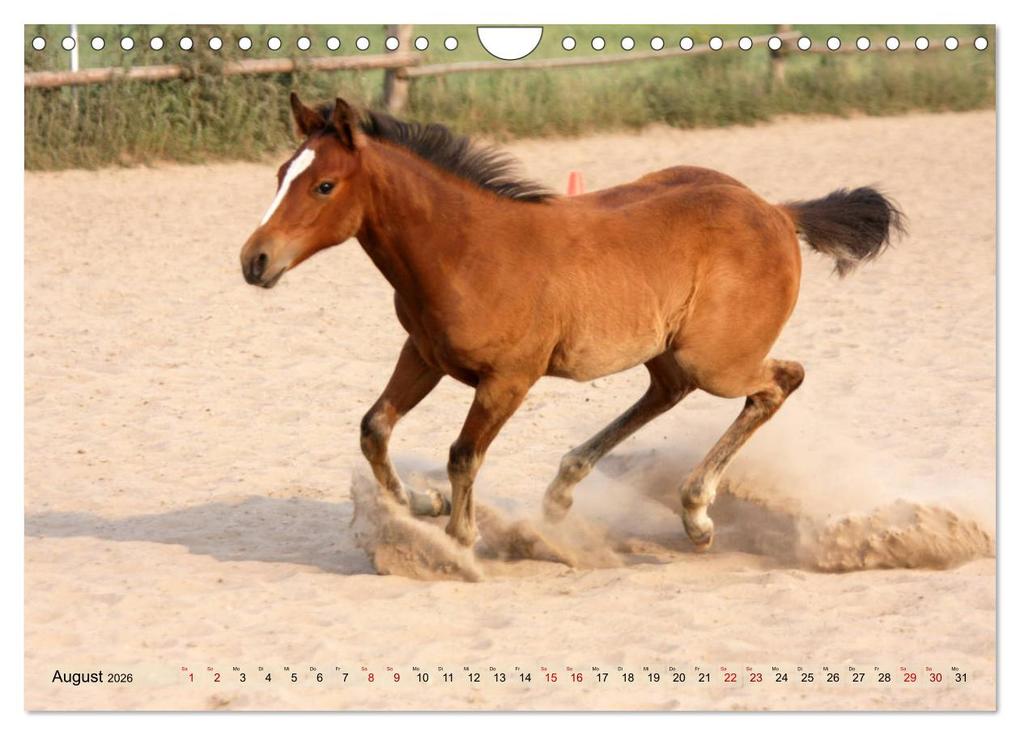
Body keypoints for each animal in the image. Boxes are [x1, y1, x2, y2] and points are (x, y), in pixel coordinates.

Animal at [240, 93, 903, 551]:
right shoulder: (424, 355)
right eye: (279, 176)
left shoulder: (509, 378)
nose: (255, 260)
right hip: (673, 351)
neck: (466, 251)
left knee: (778, 381)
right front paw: (422, 506)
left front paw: (459, 541)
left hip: (716, 359)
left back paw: (695, 513)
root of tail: (775, 210)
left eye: (325, 185)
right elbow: (375, 427)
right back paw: (565, 489)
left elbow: (463, 455)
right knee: (666, 391)